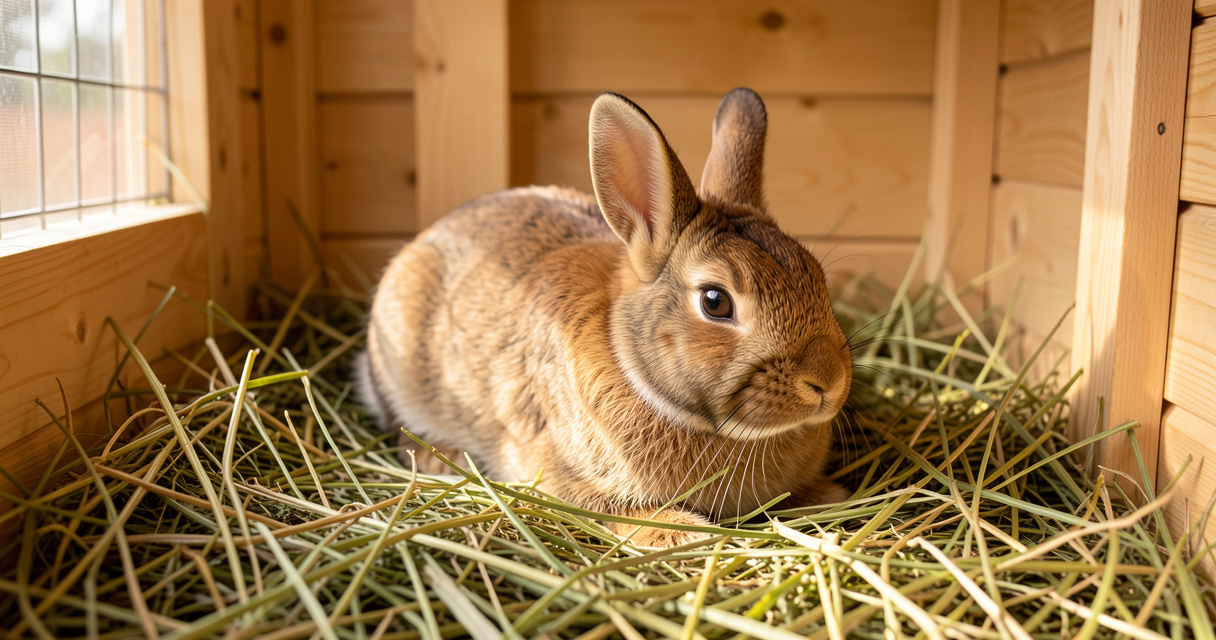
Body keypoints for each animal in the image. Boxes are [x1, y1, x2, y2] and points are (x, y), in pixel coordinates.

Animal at [357, 88, 853, 548]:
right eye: (715, 302)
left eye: (816, 274)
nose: (827, 382)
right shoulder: (569, 479)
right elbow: (625, 512)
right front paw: (683, 533)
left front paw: (832, 497)